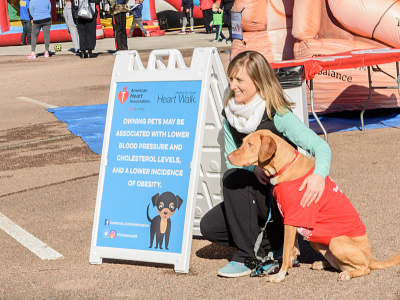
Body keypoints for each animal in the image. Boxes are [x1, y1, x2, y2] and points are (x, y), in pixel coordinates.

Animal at [228, 129, 400, 282]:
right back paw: (321, 264)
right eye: (243, 142)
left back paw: (347, 274)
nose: (228, 156)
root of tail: (370, 257)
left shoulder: (291, 219)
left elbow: (285, 251)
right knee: (338, 264)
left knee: (365, 269)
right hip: (316, 241)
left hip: (337, 242)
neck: (285, 167)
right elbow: (292, 247)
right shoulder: (290, 219)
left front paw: (280, 274)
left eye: (250, 144)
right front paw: (291, 262)